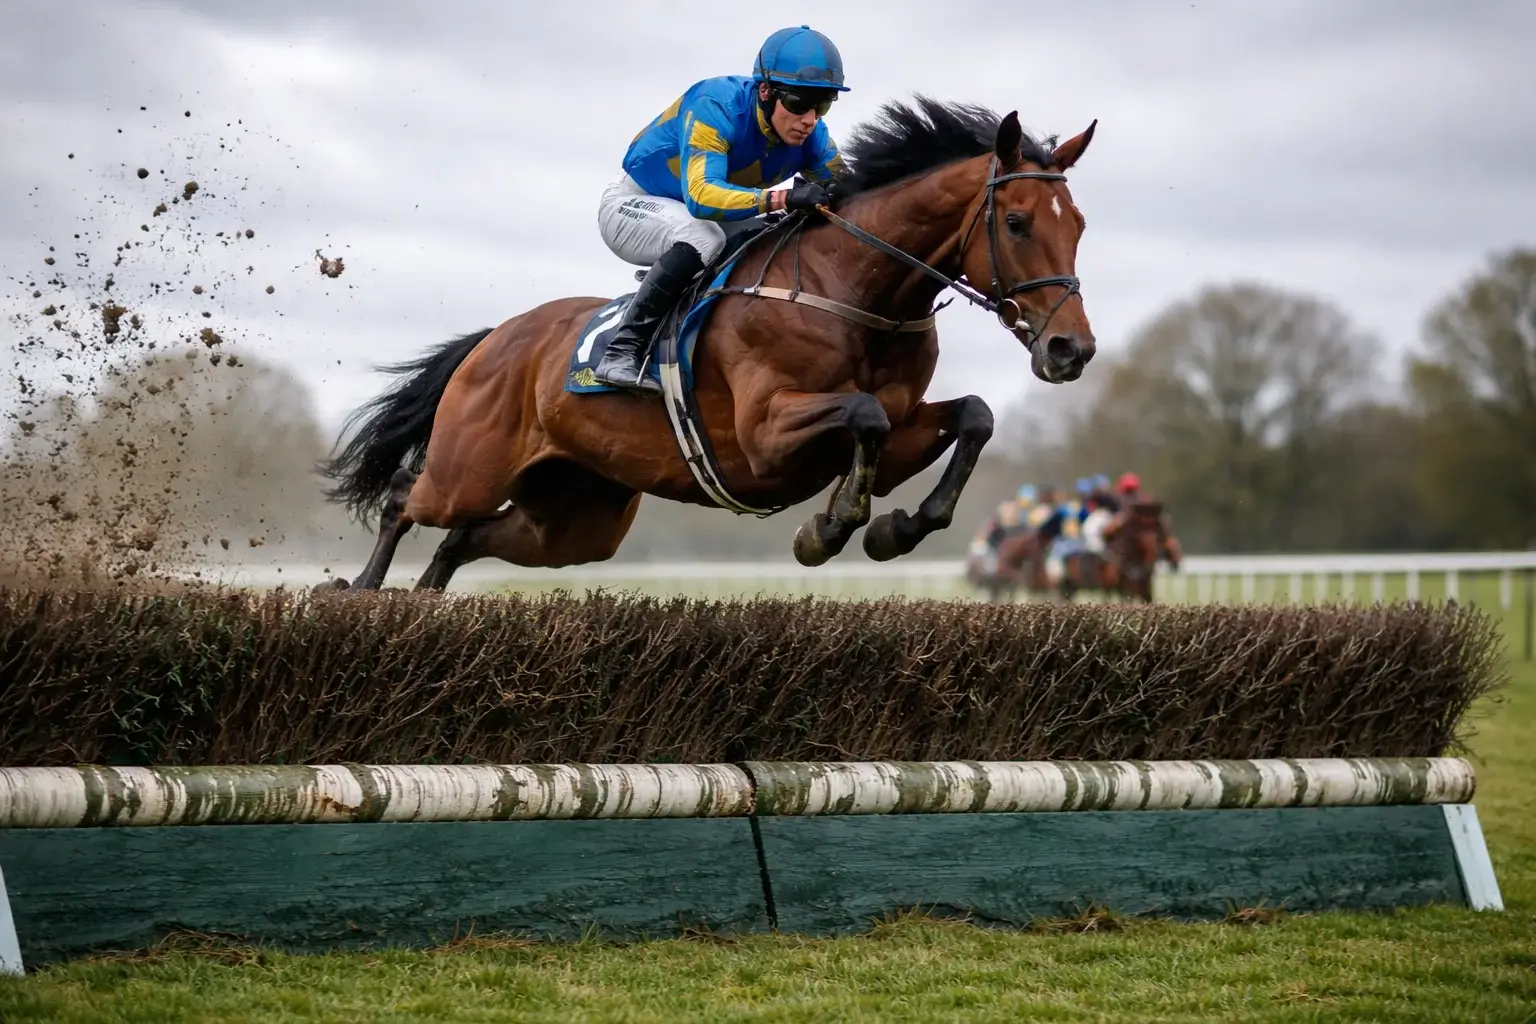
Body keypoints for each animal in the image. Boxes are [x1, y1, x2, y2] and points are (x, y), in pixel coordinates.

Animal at [319, 97, 1099, 591]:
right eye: (1019, 222)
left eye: (1080, 224)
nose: (1072, 350)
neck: (852, 289)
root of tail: (495, 339)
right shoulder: (765, 438)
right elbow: (864, 416)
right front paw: (830, 527)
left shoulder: (902, 428)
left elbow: (972, 416)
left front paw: (895, 529)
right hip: (469, 470)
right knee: (405, 498)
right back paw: (359, 590)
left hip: (576, 521)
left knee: (465, 538)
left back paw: (421, 597)